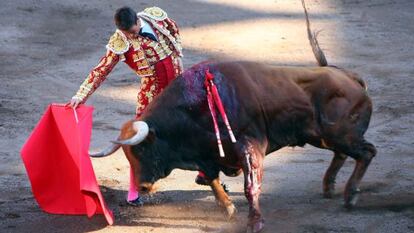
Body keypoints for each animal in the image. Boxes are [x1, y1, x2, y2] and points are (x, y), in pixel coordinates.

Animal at [91, 0, 378, 232]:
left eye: (142, 150)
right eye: (128, 155)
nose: (141, 187)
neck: (192, 112)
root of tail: (348, 75)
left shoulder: (250, 146)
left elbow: (250, 186)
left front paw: (254, 222)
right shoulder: (206, 154)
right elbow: (211, 180)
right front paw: (228, 208)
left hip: (340, 133)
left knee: (366, 152)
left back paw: (350, 195)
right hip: (323, 135)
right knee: (342, 153)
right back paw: (329, 187)